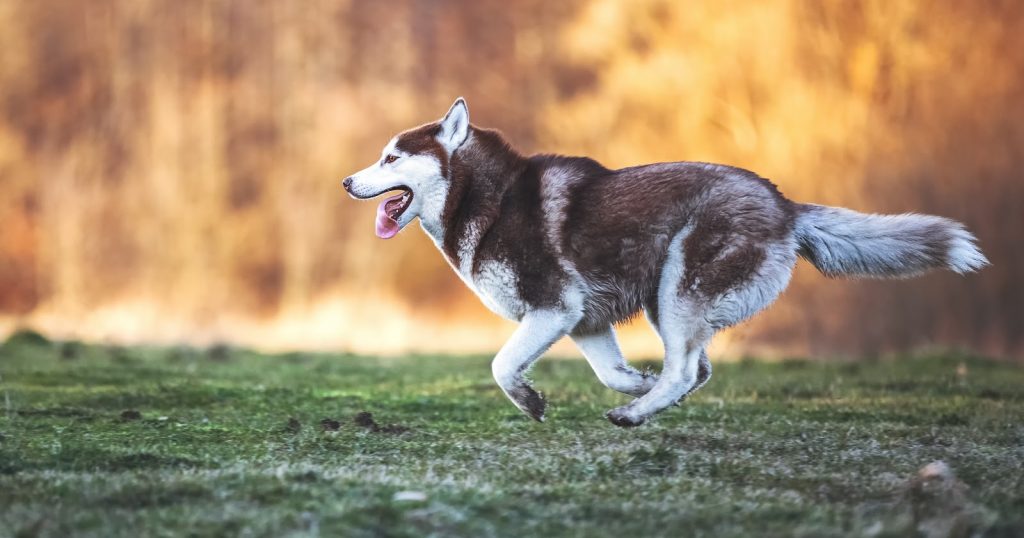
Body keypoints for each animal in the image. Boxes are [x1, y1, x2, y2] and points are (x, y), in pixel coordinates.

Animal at [342, 95, 983, 424]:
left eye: (392, 157)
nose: (347, 181)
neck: (486, 199)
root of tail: (785, 203)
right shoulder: (584, 319)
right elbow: (609, 371)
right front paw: (633, 382)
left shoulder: (552, 310)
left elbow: (501, 366)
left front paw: (531, 400)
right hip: (664, 299)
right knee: (695, 370)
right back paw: (645, 403)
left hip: (678, 287)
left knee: (685, 369)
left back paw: (633, 415)